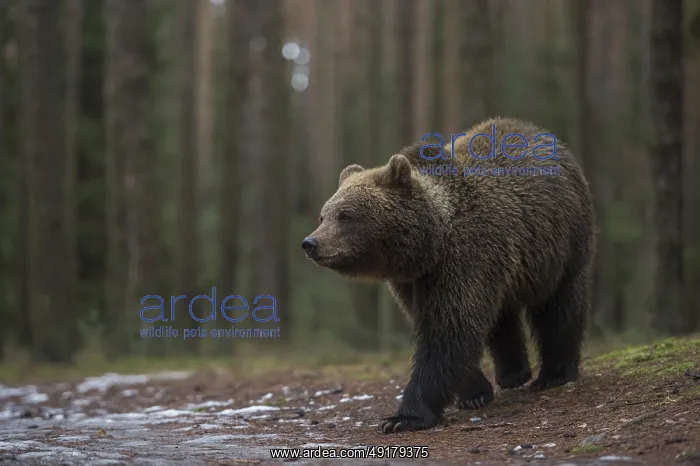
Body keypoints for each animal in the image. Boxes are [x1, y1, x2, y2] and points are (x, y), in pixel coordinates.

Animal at [301, 117, 596, 434]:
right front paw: (474, 393)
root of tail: (542, 134)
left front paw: (403, 417)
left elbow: (448, 330)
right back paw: (512, 373)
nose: (310, 243)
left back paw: (554, 374)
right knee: (502, 313)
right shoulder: (413, 281)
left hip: (561, 243)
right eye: (323, 216)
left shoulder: (464, 257)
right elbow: (447, 327)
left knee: (560, 305)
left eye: (345, 215)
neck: (430, 243)